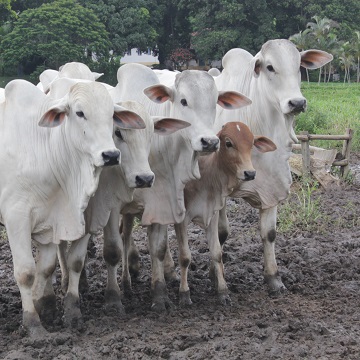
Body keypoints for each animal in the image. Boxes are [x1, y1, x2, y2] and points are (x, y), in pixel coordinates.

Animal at [0, 79, 144, 338]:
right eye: (79, 113)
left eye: (111, 115)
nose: (110, 155)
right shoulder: (17, 219)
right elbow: (26, 272)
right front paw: (33, 324)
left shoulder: (57, 219)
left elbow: (51, 267)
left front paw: (53, 310)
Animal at [108, 63, 252, 310]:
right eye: (184, 101)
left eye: (215, 101)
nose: (209, 142)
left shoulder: (168, 204)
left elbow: (162, 247)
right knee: (123, 236)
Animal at [212, 39, 334, 296]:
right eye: (269, 67)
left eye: (299, 66)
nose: (297, 102)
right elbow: (220, 233)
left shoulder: (272, 186)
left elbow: (268, 233)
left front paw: (274, 278)